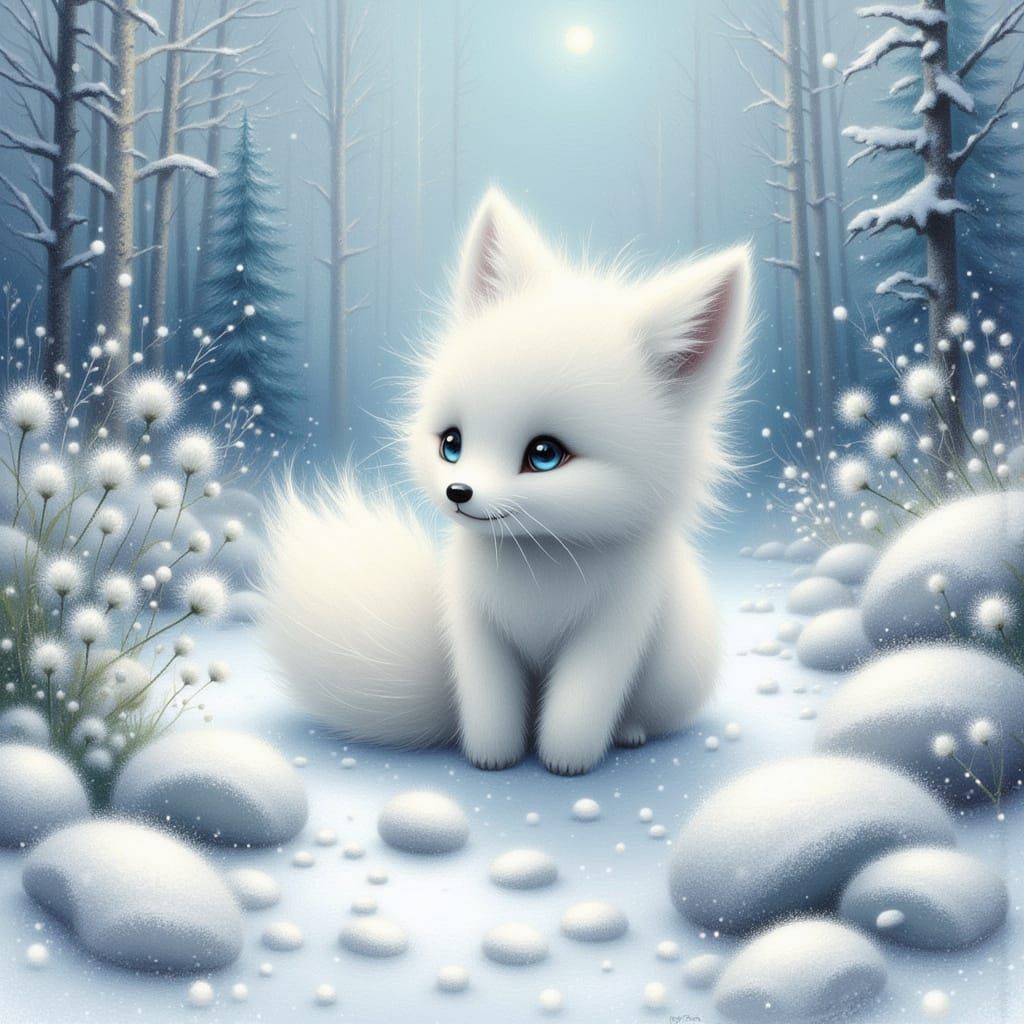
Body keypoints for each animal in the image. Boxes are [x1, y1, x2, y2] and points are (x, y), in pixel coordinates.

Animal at [261, 188, 753, 776]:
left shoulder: (614, 628)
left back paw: (629, 732)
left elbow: (579, 706)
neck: (537, 560)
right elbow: (488, 701)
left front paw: (566, 762)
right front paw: (491, 758)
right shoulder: (474, 626)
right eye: (452, 444)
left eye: (544, 455)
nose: (458, 493)